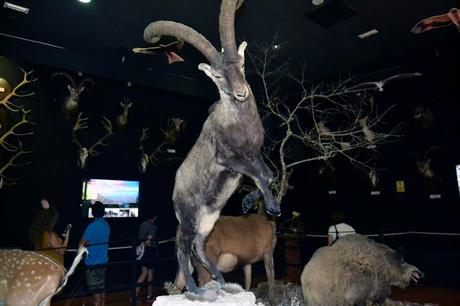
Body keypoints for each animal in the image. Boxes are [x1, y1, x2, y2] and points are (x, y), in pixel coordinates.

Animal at [144, 0, 278, 298]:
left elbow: (267, 174)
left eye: (241, 63)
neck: (239, 125)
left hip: (208, 221)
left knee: (199, 247)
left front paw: (251, 202)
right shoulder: (228, 158)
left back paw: (220, 280)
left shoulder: (254, 155)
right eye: (217, 75)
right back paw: (195, 290)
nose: (241, 93)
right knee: (184, 250)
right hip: (189, 218)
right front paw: (272, 207)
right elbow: (259, 174)